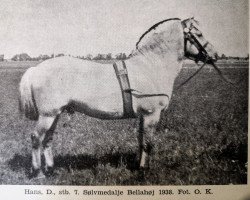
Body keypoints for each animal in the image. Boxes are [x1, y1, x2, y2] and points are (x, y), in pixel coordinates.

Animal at [19, 16, 217, 177]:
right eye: (199, 34)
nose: (214, 55)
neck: (150, 67)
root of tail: (36, 69)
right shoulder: (151, 114)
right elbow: (148, 143)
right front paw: (144, 170)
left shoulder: (142, 116)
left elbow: (140, 140)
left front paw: (138, 165)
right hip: (47, 115)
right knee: (36, 138)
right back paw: (38, 172)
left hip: (55, 114)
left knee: (48, 139)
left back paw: (50, 169)